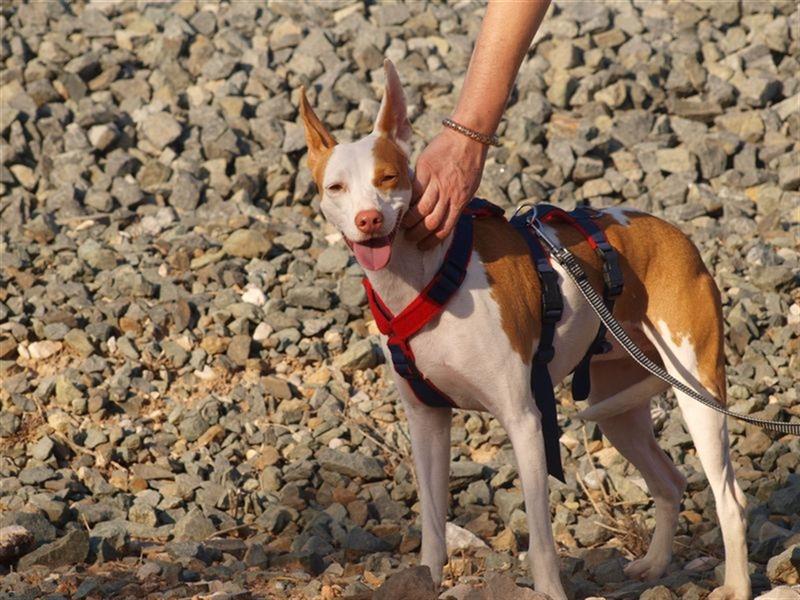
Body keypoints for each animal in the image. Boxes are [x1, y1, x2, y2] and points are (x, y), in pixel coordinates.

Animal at [298, 59, 752, 600]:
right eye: (336, 188)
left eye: (388, 178)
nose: (368, 220)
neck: (428, 276)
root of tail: (678, 237)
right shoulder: (427, 422)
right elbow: (432, 526)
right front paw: (425, 579)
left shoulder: (526, 421)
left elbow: (540, 542)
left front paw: (549, 590)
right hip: (618, 409)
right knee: (670, 481)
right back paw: (656, 563)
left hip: (697, 392)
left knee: (730, 500)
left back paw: (737, 584)